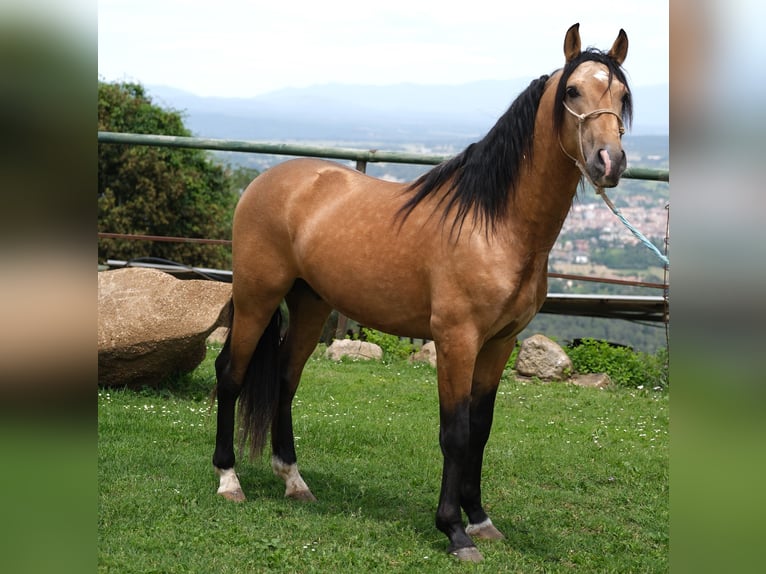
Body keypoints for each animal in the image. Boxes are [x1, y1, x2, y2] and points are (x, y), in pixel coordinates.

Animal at [213, 24, 632, 564]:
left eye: (622, 96)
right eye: (573, 91)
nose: (609, 162)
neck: (495, 225)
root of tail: (266, 180)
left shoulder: (499, 344)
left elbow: (481, 430)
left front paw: (481, 520)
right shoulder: (456, 340)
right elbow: (455, 433)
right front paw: (453, 531)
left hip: (310, 303)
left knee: (286, 378)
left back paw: (294, 480)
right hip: (257, 296)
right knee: (231, 373)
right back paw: (228, 480)